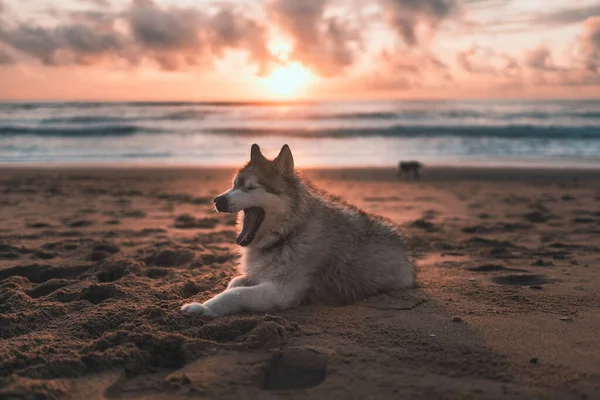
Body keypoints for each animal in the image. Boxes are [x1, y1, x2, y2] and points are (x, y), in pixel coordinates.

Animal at [180, 144, 414, 316]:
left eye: (251, 188)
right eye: (233, 185)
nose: (218, 200)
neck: (289, 233)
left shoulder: (281, 291)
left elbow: (236, 294)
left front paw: (203, 307)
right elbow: (235, 283)